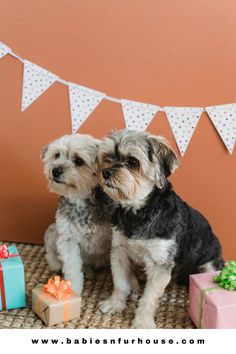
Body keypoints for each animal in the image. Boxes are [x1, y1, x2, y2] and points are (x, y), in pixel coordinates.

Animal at [41, 134, 115, 294]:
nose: (55, 170)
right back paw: (58, 264)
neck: (80, 200)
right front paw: (72, 291)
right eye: (56, 155)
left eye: (79, 161)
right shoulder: (68, 240)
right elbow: (72, 269)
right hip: (53, 230)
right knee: (50, 252)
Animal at [96, 129, 225, 328]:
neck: (137, 213)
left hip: (210, 263)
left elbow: (149, 297)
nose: (106, 172)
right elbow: (119, 282)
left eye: (133, 162)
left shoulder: (160, 264)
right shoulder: (119, 251)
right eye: (107, 157)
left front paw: (142, 321)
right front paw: (115, 303)